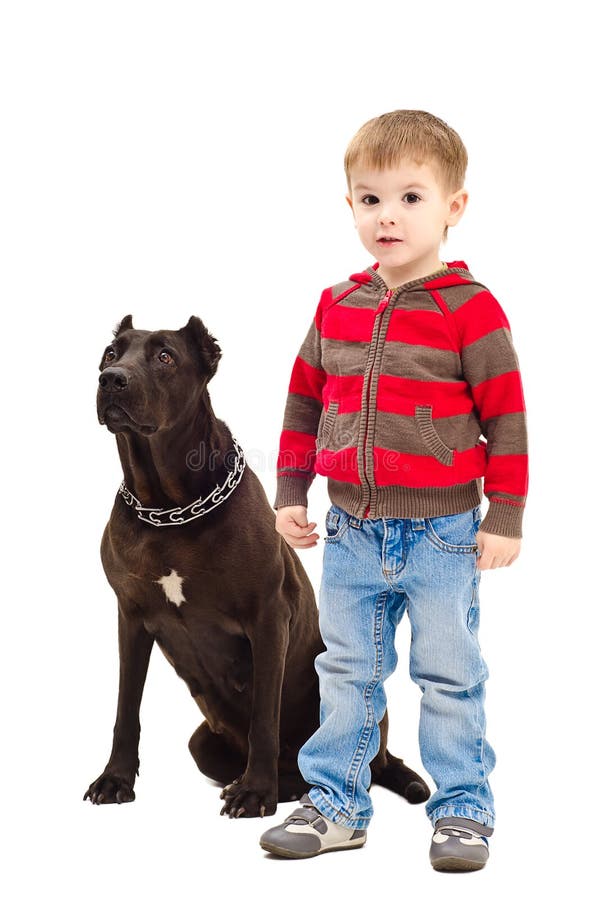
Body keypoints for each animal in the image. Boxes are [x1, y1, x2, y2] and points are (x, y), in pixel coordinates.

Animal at [84, 314, 428, 816]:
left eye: (165, 356)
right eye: (111, 353)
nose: (111, 379)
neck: (168, 509)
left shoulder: (268, 617)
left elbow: (265, 714)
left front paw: (256, 792)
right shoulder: (130, 617)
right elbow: (126, 707)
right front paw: (115, 779)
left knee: (358, 764)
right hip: (203, 744)